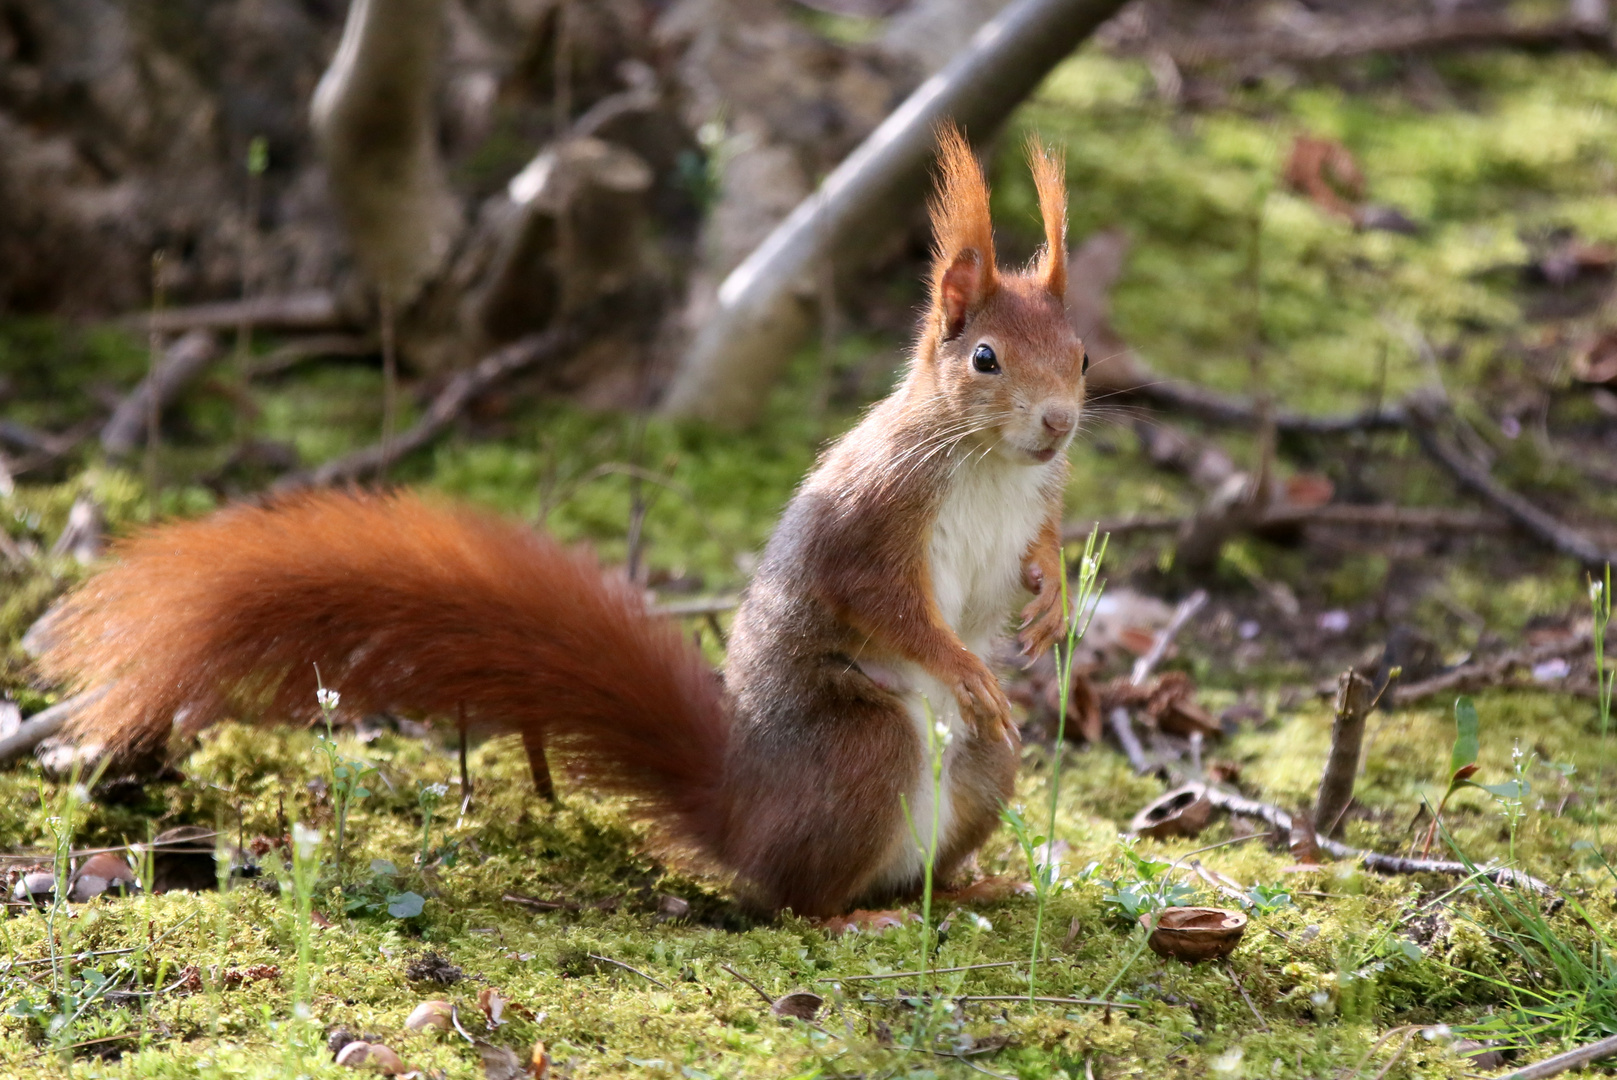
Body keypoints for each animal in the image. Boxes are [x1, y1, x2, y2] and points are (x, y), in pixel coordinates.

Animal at [34, 126, 1086, 918]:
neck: (990, 464)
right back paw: (854, 915)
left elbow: (1032, 553)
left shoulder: (1032, 499)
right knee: (800, 896)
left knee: (931, 841)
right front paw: (961, 659)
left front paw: (1050, 603)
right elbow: (884, 601)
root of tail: (742, 812)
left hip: (986, 766)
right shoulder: (873, 518)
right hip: (862, 746)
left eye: (1078, 355)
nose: (1060, 425)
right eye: (985, 359)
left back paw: (965, 888)